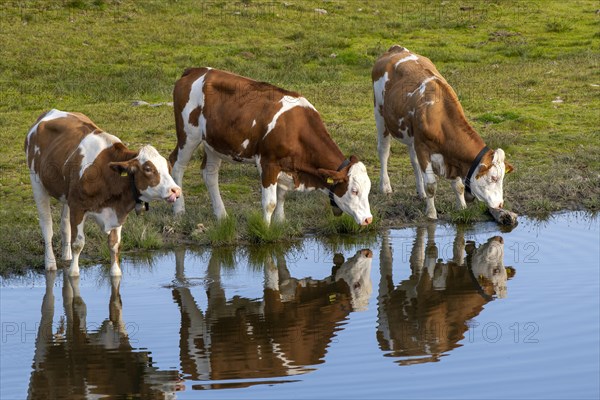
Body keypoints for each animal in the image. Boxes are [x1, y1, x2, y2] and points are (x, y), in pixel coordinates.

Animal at [25, 110, 180, 278]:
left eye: (168, 167)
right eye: (148, 169)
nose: (176, 190)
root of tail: (51, 112)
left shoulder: (117, 211)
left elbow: (114, 245)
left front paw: (115, 272)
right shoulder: (78, 207)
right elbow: (78, 243)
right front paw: (73, 272)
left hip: (65, 194)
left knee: (65, 224)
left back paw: (66, 256)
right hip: (37, 182)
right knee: (47, 226)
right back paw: (50, 264)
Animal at [171, 67, 372, 227]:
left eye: (369, 189)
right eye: (354, 191)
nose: (368, 219)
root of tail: (196, 70)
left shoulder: (287, 165)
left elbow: (282, 196)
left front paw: (280, 222)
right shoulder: (268, 163)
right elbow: (270, 203)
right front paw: (265, 230)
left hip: (214, 144)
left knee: (210, 174)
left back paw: (222, 215)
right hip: (188, 135)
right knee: (177, 166)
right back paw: (179, 210)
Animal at [372, 46, 512, 219]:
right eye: (493, 178)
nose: (500, 204)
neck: (440, 117)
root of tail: (396, 49)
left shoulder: (448, 155)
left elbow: (458, 185)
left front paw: (462, 208)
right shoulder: (423, 148)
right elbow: (431, 185)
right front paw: (431, 214)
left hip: (411, 135)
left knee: (414, 160)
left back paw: (421, 193)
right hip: (380, 114)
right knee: (384, 151)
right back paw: (385, 186)